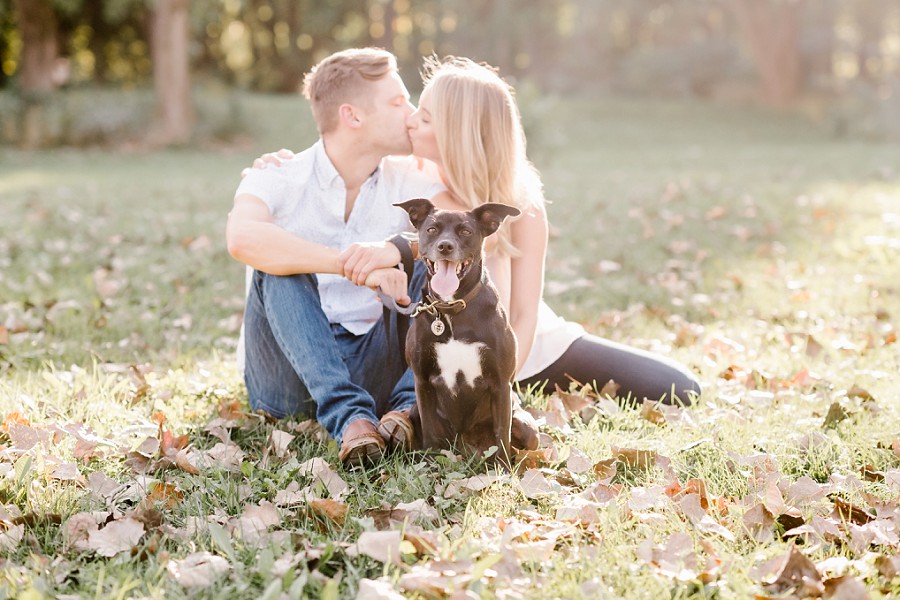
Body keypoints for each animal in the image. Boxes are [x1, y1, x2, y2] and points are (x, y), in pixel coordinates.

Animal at [396, 199, 536, 462]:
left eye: (466, 231)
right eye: (432, 229)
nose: (445, 246)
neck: (452, 310)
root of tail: (465, 447)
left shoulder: (501, 384)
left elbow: (503, 434)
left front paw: (503, 469)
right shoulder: (422, 381)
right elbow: (430, 431)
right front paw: (429, 464)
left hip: (528, 429)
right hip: (412, 414)